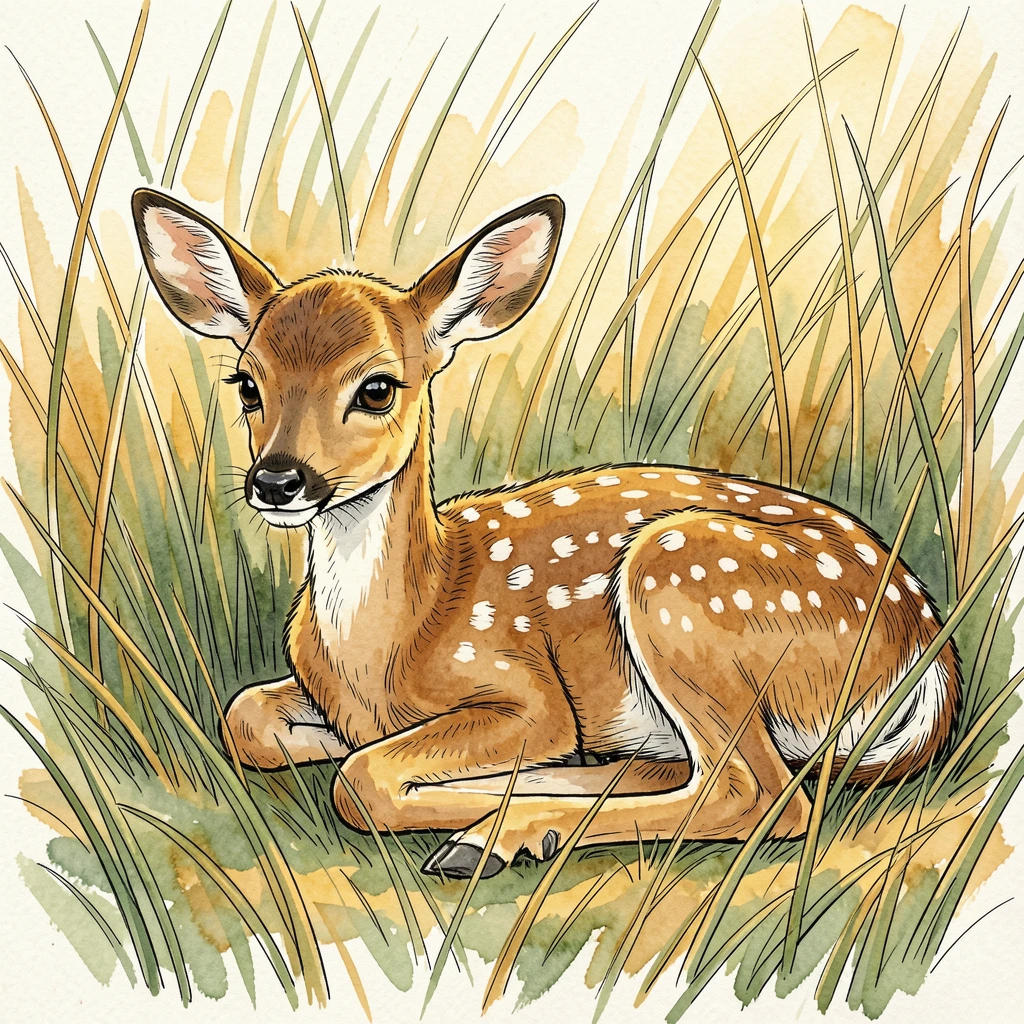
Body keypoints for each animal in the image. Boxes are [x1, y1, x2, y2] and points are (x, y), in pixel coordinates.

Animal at [131, 187, 960, 879]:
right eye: (247, 384)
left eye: (376, 387)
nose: (277, 481)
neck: (387, 645)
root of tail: (929, 654)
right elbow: (244, 718)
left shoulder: (526, 692)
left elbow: (361, 781)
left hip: (679, 582)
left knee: (758, 794)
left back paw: (499, 833)